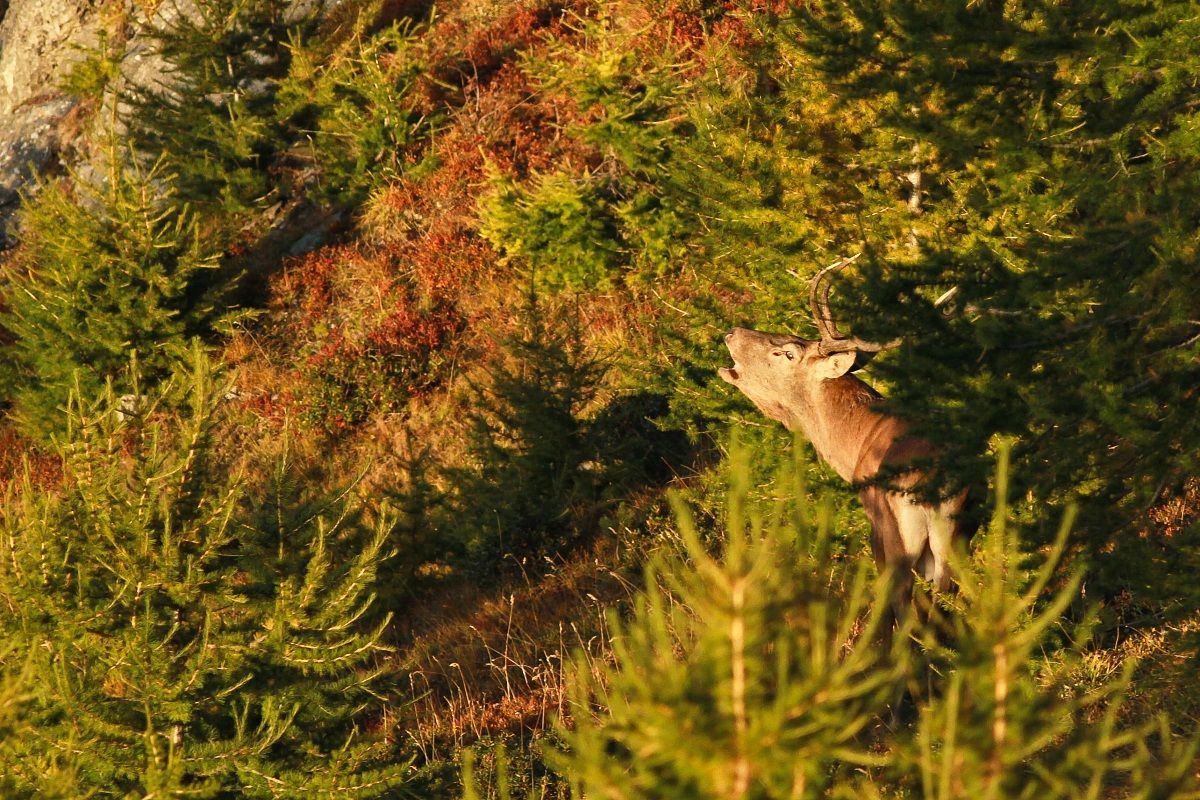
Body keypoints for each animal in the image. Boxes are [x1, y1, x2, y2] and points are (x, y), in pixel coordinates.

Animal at [718, 255, 972, 624]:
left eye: (788, 353)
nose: (732, 332)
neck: (854, 446)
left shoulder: (875, 522)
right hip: (953, 539)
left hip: (900, 531)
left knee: (902, 602)